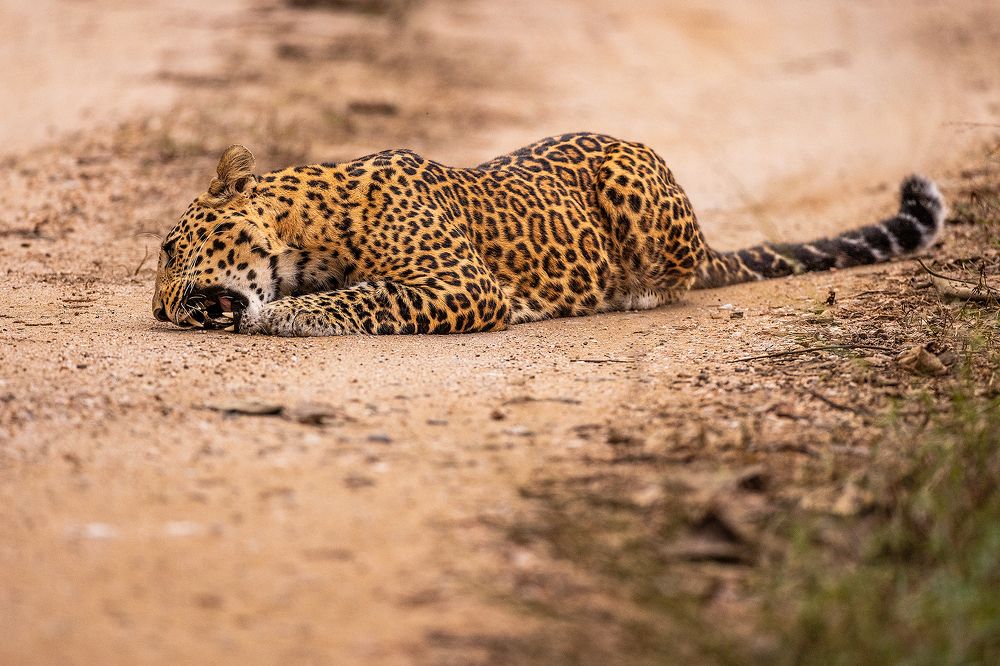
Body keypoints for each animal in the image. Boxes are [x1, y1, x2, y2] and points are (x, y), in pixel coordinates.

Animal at [151, 133, 946, 336]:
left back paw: (631, 292)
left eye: (167, 250)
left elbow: (361, 297)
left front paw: (280, 316)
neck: (308, 229)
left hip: (636, 196)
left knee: (678, 279)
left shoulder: (460, 283)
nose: (158, 310)